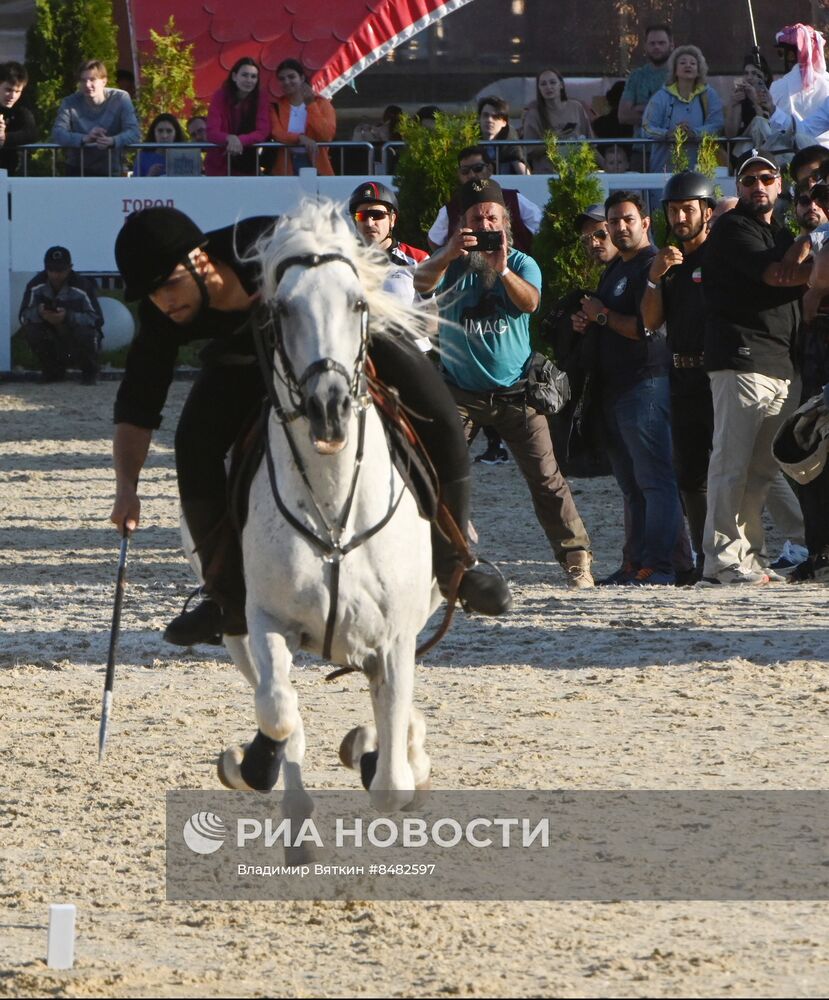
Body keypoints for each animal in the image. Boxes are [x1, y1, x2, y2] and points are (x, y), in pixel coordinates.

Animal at [215, 197, 440, 812]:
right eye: (284, 309)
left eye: (358, 302)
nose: (329, 410)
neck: (335, 506)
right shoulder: (263, 620)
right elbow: (278, 710)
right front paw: (254, 764)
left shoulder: (396, 638)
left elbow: (391, 783)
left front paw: (386, 756)